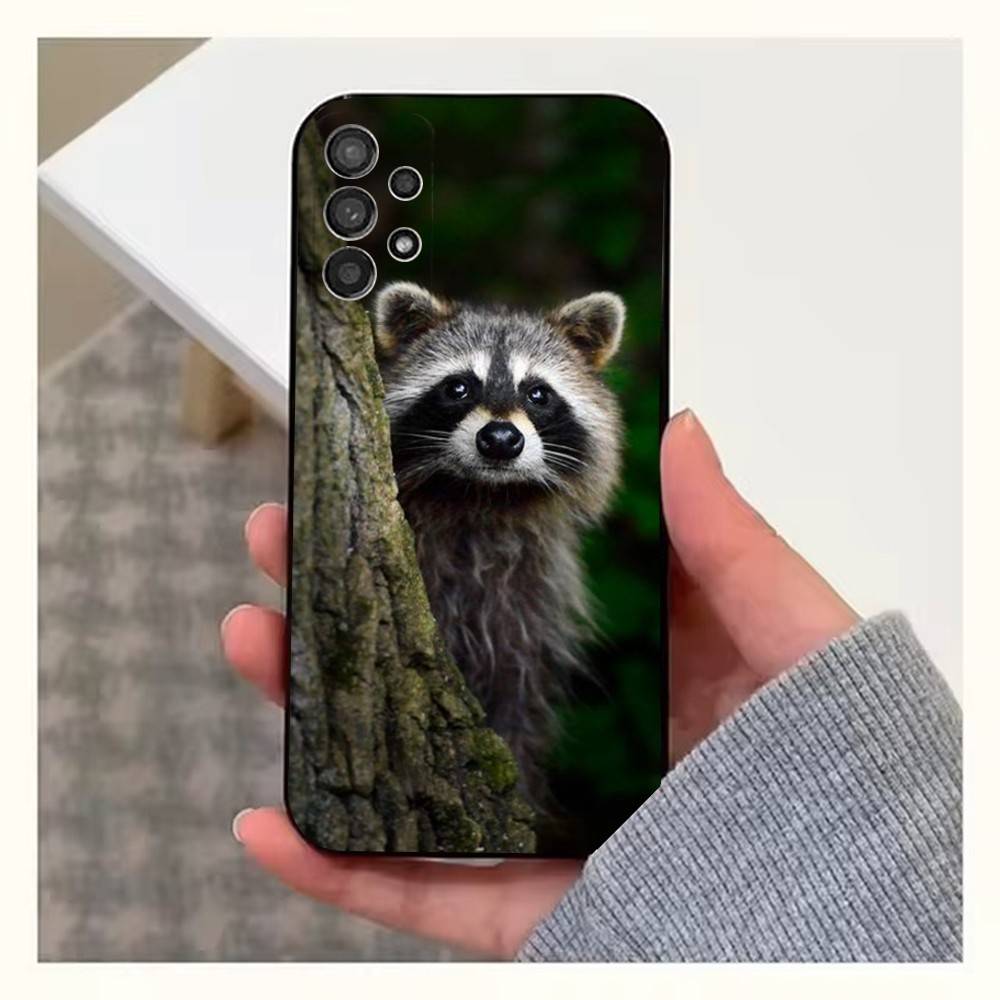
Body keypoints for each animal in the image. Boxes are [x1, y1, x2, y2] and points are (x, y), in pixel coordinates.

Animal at [372, 282, 625, 803]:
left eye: (538, 393)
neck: (484, 498)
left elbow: (518, 693)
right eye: (458, 387)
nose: (501, 438)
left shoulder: (532, 600)